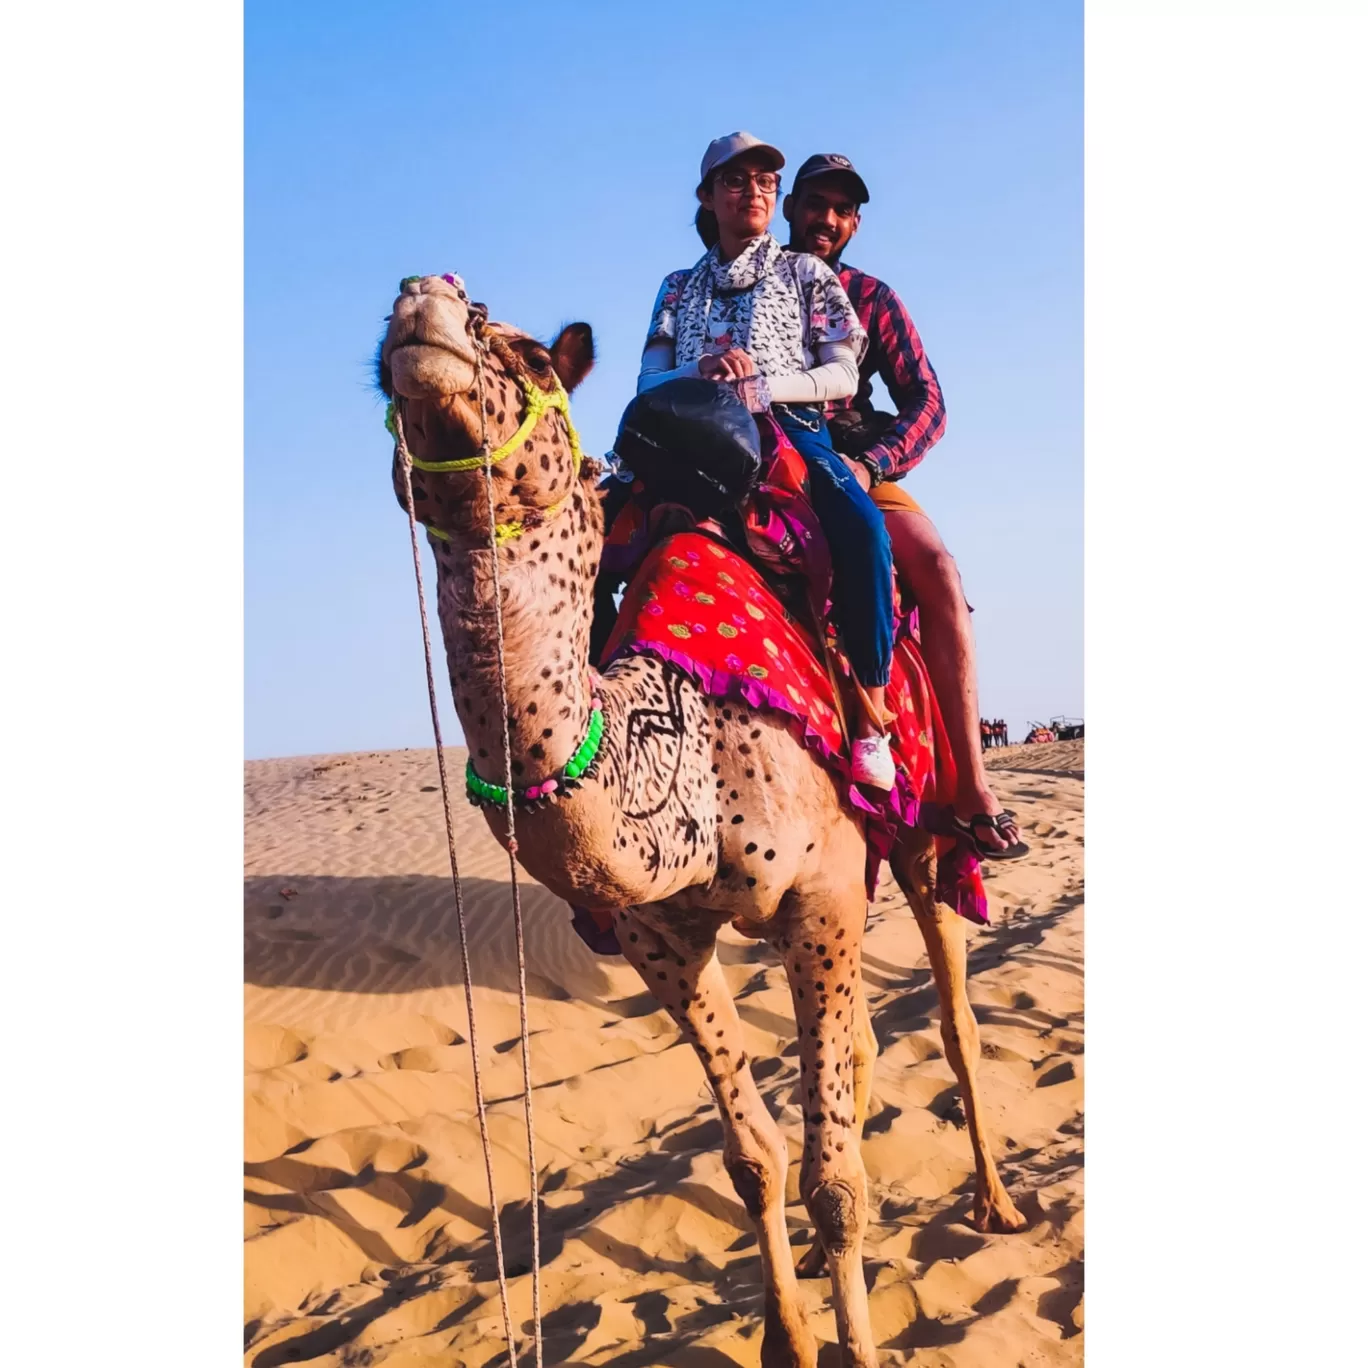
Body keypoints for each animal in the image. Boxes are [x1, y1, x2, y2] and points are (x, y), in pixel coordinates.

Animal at [380, 269, 1023, 1368]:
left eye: (530, 355)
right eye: (383, 350)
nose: (421, 299)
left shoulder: (816, 895)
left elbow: (830, 1177)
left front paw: (851, 1341)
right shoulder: (660, 936)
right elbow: (755, 1157)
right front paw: (788, 1338)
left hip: (924, 834)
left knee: (953, 1016)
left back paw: (994, 1201)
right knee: (861, 1048)